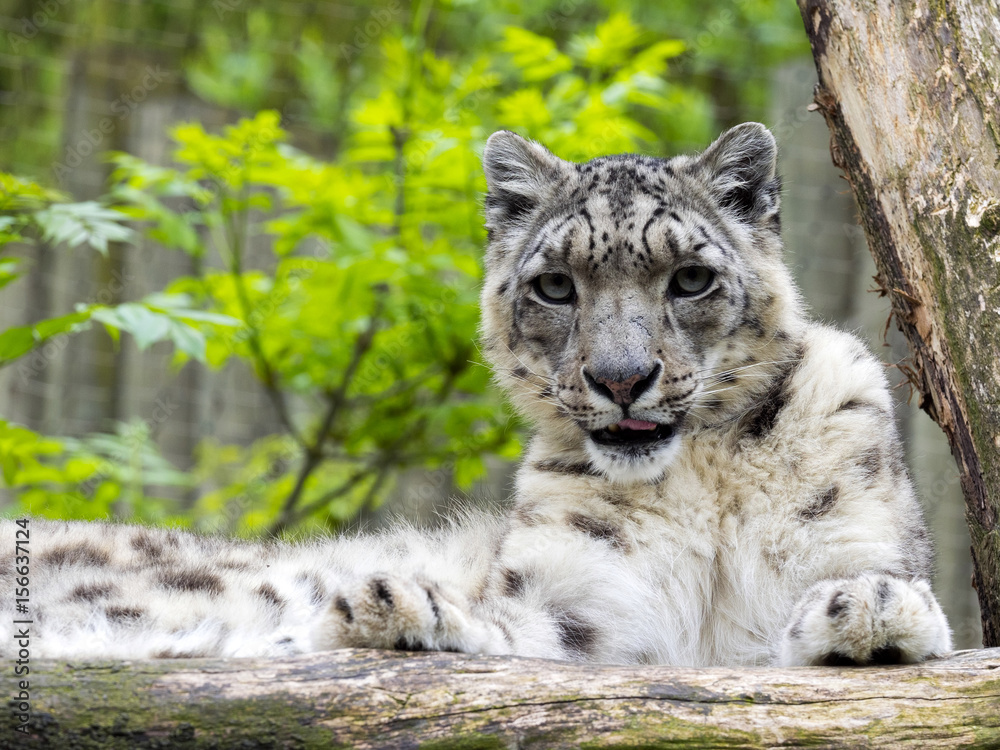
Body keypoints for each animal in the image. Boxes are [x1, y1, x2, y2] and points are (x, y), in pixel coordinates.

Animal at [0, 123, 952, 667]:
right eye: (556, 286)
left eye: (689, 278)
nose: (620, 378)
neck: (699, 482)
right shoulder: (586, 612)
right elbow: (523, 635)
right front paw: (393, 606)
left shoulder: (854, 533)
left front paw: (871, 608)